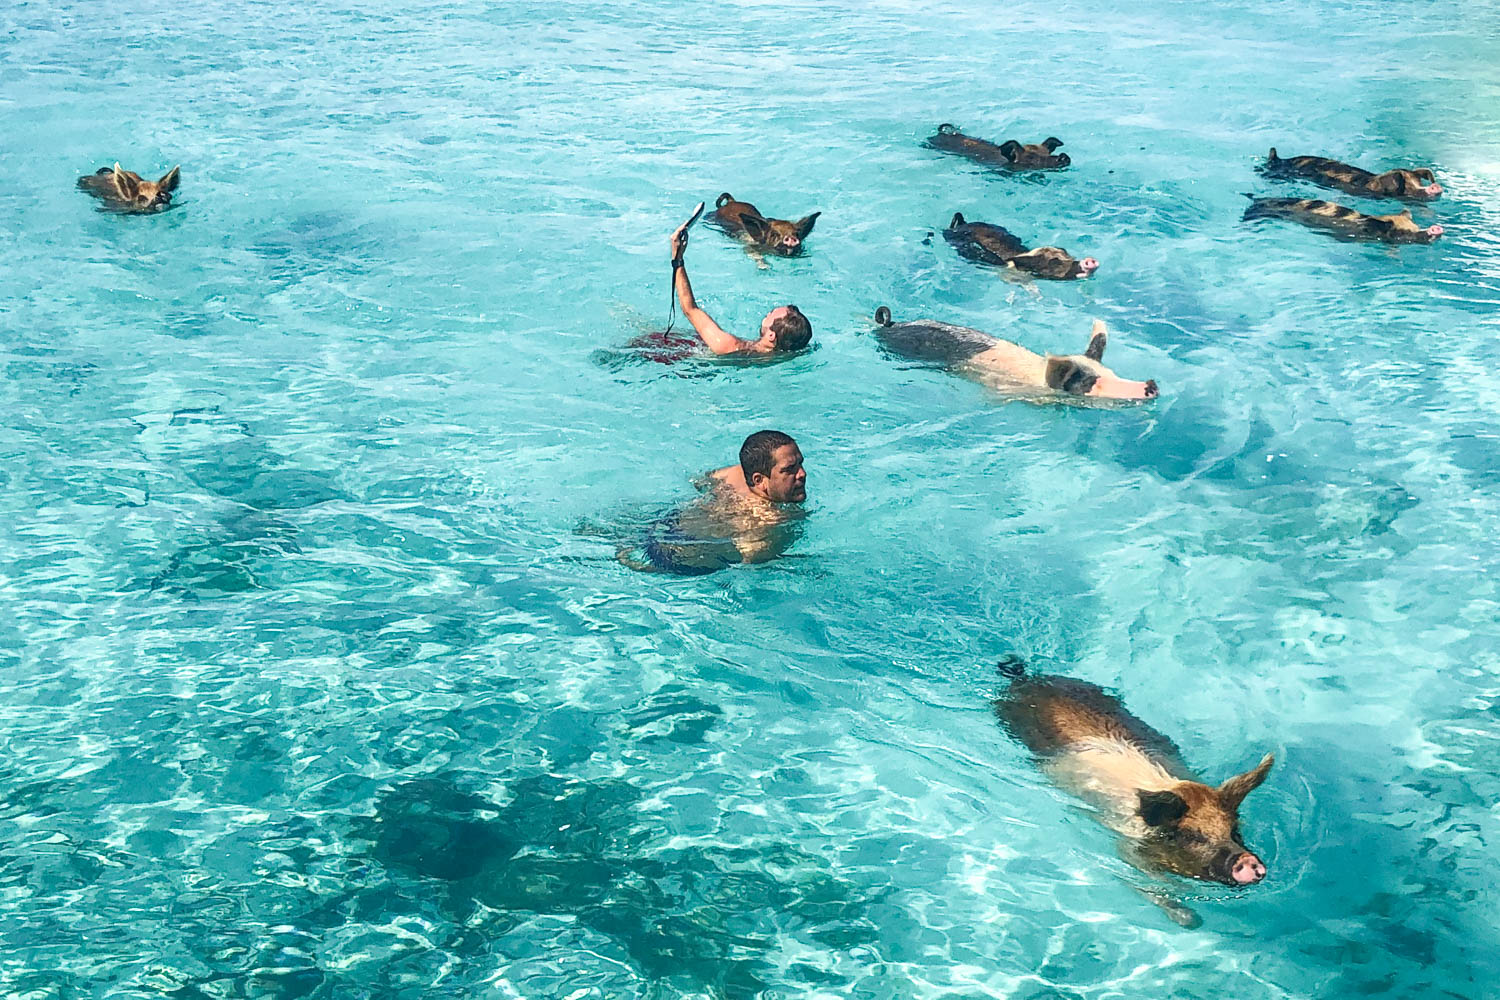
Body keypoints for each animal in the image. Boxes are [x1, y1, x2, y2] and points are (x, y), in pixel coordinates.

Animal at [993, 658, 1274, 926]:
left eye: (1234, 831)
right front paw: (1191, 920)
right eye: (1193, 836)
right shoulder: (1128, 846)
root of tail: (1028, 677)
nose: (1247, 859)